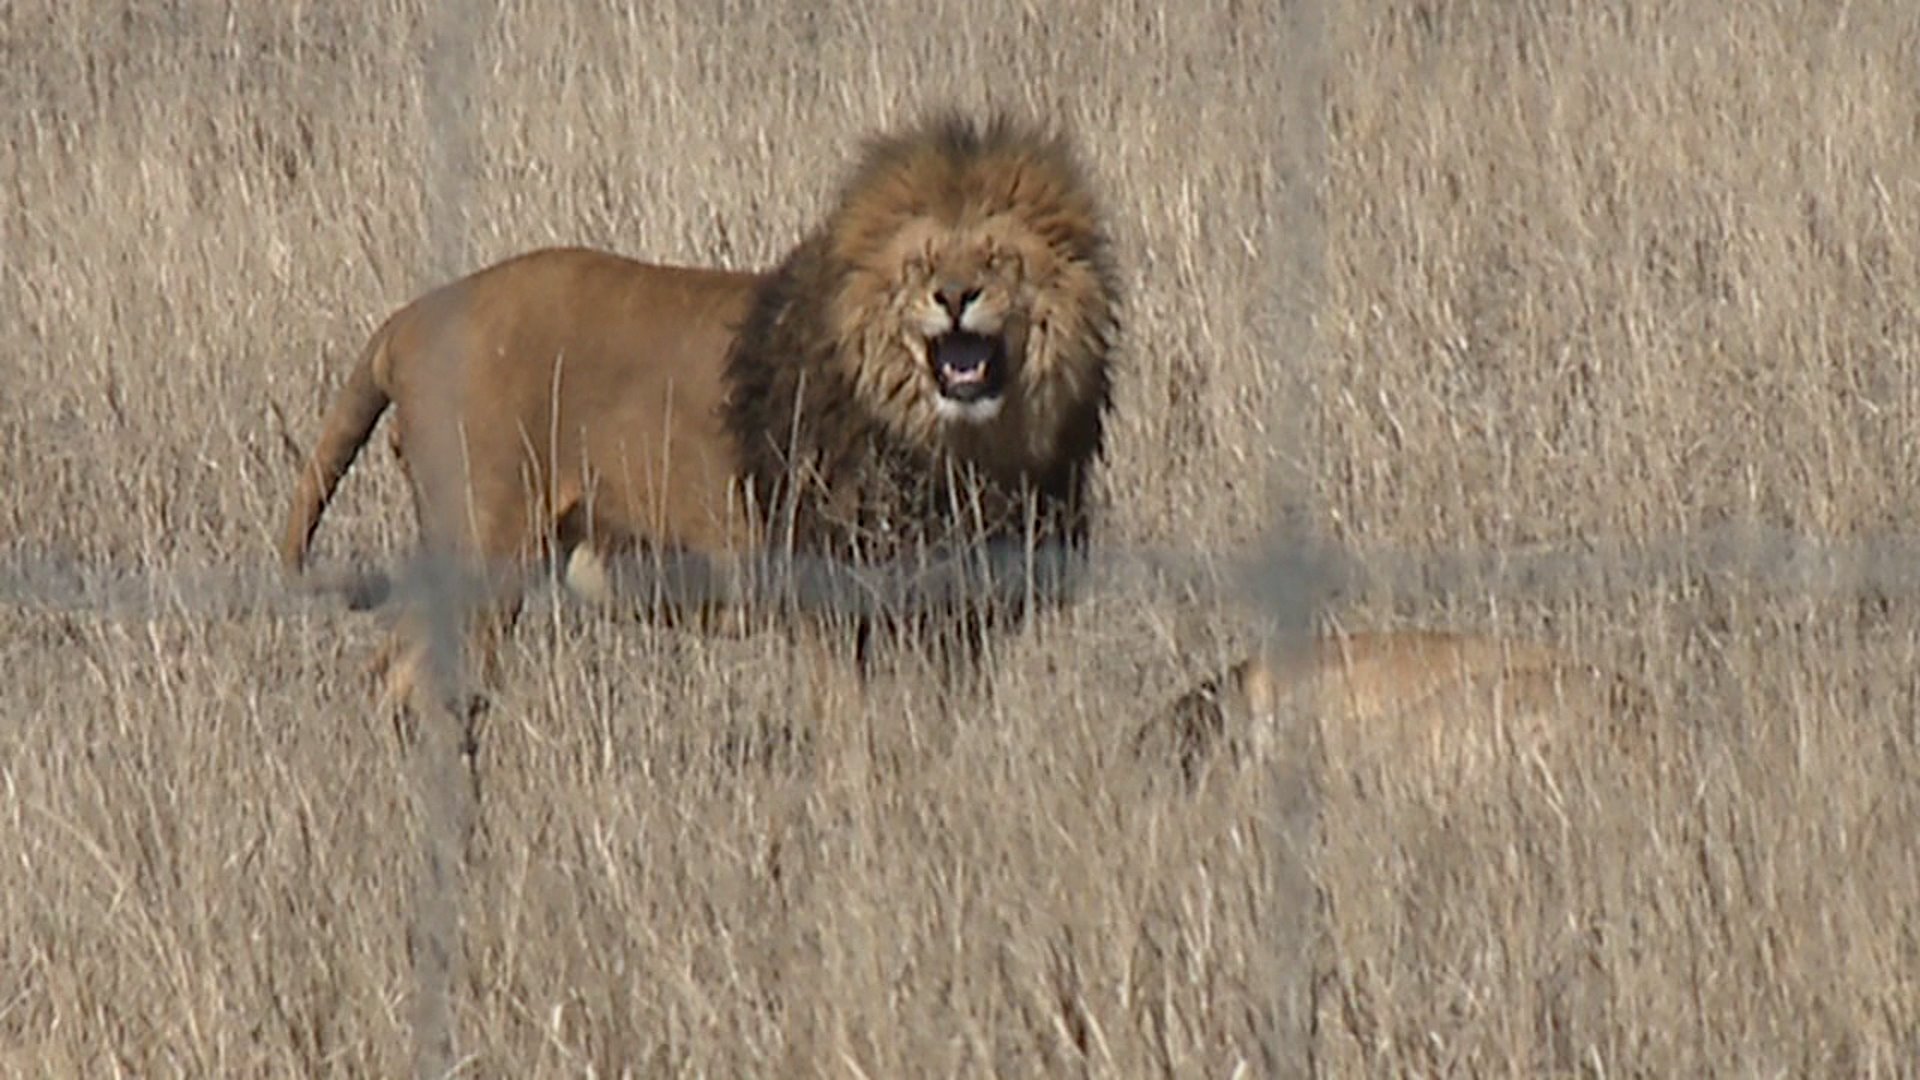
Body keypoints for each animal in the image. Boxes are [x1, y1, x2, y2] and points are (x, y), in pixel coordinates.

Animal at [284, 113, 1121, 711]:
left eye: (998, 260)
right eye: (919, 265)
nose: (953, 296)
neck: (957, 446)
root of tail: (406, 319)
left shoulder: (963, 616)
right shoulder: (826, 595)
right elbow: (852, 733)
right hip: (485, 547)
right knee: (404, 678)